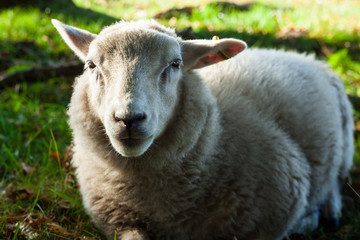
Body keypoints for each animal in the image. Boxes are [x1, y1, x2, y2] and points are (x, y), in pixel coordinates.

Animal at [52, 19, 352, 240]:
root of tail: (305, 56)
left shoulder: (277, 208)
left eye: (175, 64)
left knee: (335, 183)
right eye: (91, 65)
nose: (129, 118)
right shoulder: (119, 220)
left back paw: (326, 213)